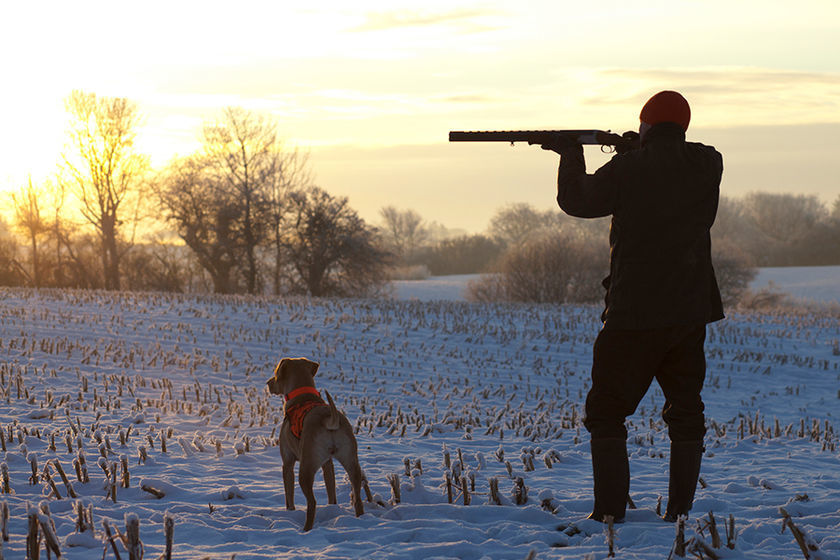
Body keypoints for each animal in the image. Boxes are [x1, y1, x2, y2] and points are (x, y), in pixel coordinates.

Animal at [266, 356, 364, 532]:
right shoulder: (328, 463)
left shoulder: (288, 462)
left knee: (312, 502)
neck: (304, 394)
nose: (268, 383)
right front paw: (332, 507)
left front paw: (290, 511)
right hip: (352, 461)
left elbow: (289, 495)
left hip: (306, 468)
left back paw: (306, 529)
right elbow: (331, 488)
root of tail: (329, 418)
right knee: (358, 497)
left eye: (276, 374)